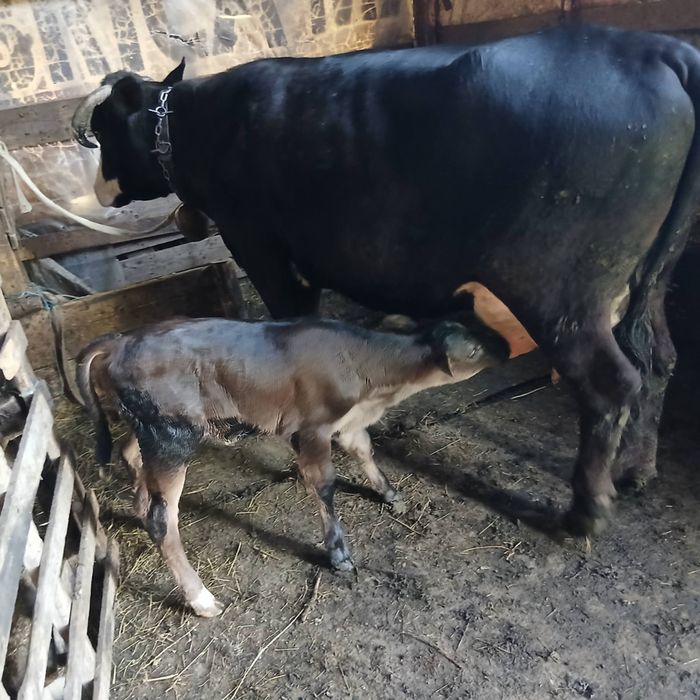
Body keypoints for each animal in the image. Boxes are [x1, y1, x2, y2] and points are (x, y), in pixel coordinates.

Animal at [71, 24, 700, 538]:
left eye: (102, 131)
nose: (95, 191)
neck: (206, 125)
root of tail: (655, 49)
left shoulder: (262, 248)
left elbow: (284, 322)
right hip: (647, 281)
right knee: (658, 361)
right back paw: (638, 469)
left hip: (559, 290)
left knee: (611, 384)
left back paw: (584, 514)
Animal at [75, 316, 508, 616]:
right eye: (473, 348)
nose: (507, 346)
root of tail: (120, 340)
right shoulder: (312, 428)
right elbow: (325, 485)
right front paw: (338, 553)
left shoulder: (349, 423)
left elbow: (365, 451)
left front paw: (390, 494)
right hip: (172, 437)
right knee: (162, 518)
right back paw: (202, 599)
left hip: (152, 431)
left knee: (131, 458)